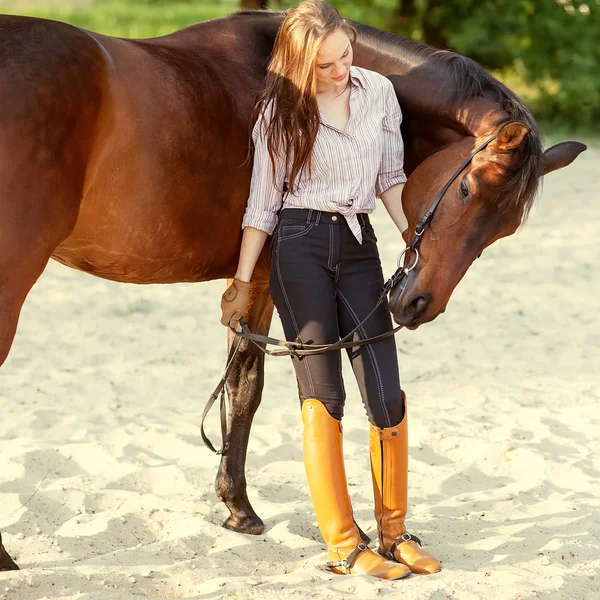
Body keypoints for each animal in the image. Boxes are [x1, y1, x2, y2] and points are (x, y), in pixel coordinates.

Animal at [0, 10, 584, 572]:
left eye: (503, 230)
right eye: (465, 188)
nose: (419, 304)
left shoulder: (247, 284)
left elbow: (241, 384)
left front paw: (236, 507)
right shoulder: (262, 273)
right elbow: (249, 386)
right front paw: (241, 506)